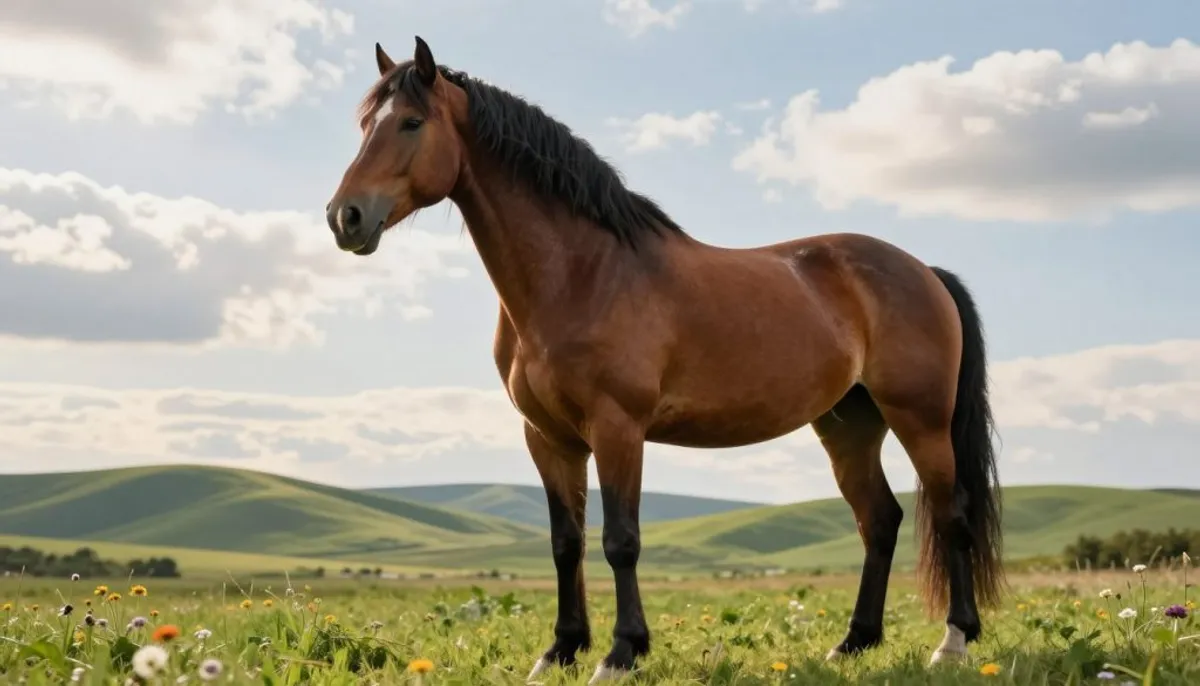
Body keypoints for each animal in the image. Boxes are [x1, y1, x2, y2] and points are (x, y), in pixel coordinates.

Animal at [325, 37, 1004, 684]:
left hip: (921, 420)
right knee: (879, 521)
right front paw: (560, 651)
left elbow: (620, 541)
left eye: (411, 122)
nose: (344, 217)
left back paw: (953, 643)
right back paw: (852, 644)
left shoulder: (617, 428)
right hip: (848, 425)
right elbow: (565, 543)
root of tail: (924, 271)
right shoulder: (547, 437)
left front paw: (620, 654)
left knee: (952, 517)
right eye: (363, 125)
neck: (581, 274)